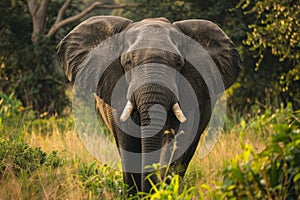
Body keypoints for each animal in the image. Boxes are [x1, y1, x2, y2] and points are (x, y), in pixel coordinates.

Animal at [57, 16, 243, 195]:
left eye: (178, 64)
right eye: (128, 62)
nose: (148, 191)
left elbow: (175, 142)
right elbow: (127, 143)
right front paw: (135, 193)